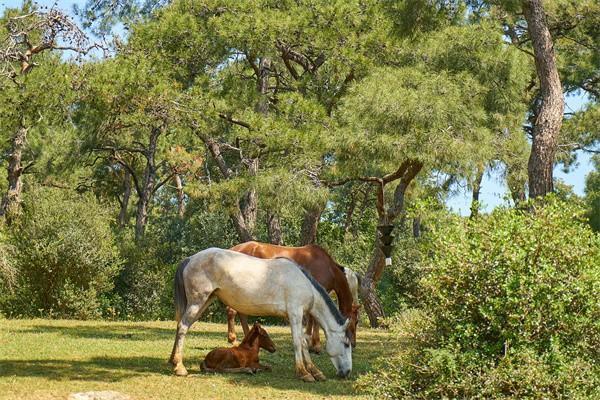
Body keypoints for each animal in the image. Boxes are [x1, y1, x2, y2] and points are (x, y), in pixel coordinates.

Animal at [226, 239, 358, 352]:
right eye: (355, 322)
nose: (353, 344)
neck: (328, 268)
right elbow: (314, 319)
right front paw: (315, 345)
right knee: (232, 311)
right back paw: (233, 339)